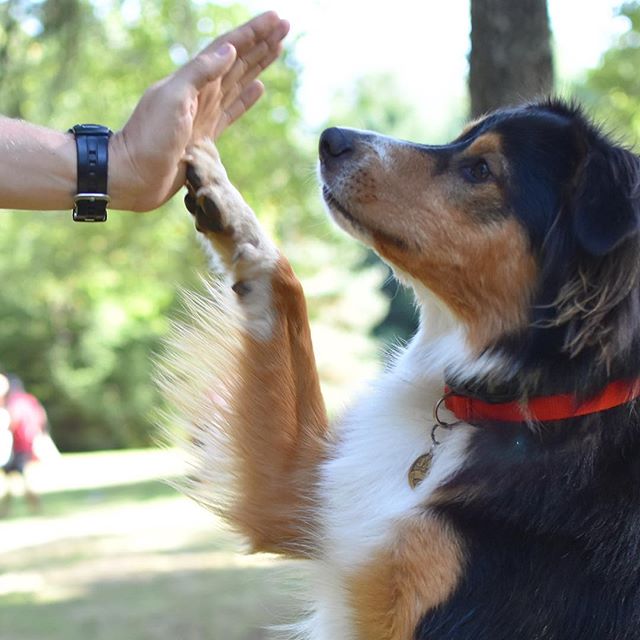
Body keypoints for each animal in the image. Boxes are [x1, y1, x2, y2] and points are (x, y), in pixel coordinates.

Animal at [160, 100, 640, 640]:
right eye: (459, 138)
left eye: (481, 170)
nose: (330, 139)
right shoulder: (306, 492)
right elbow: (282, 290)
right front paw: (221, 197)